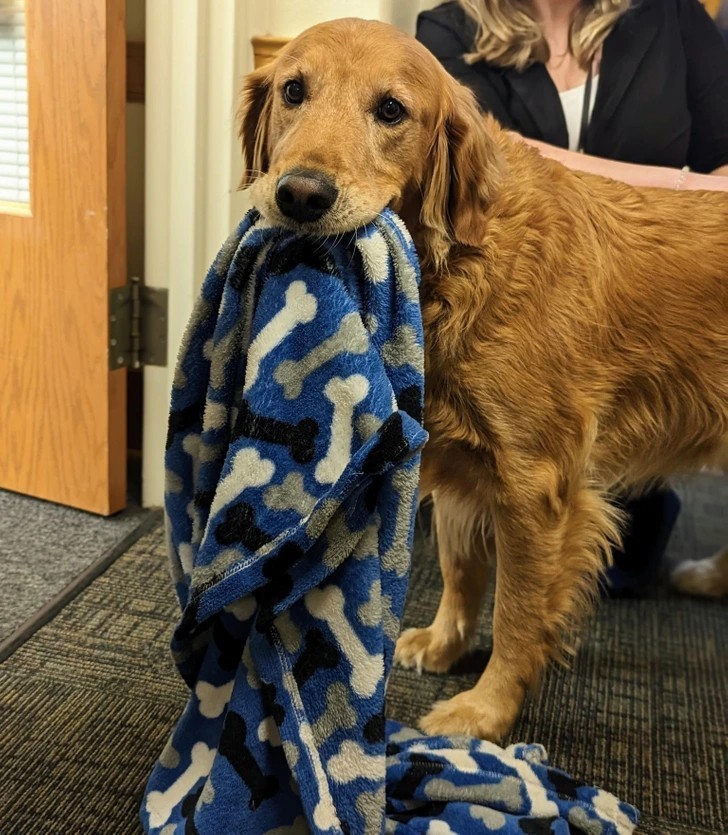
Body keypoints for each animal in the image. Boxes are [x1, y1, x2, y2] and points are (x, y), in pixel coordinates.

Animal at [239, 16, 728, 740]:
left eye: (391, 110)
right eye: (293, 91)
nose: (300, 195)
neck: (456, 265)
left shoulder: (534, 485)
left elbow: (518, 613)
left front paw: (486, 708)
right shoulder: (459, 458)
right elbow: (461, 567)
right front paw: (445, 644)